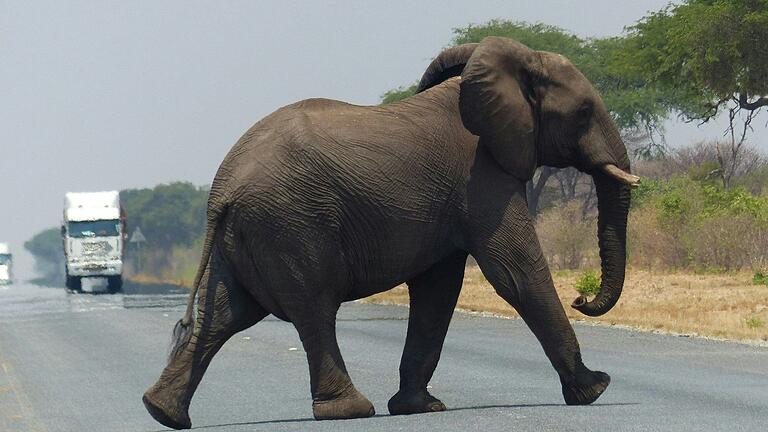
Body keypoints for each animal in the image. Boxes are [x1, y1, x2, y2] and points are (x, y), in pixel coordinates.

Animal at [142, 37, 636, 428]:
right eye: (584, 112)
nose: (582, 298)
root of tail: (221, 189)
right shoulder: (480, 175)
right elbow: (516, 272)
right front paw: (595, 389)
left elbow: (439, 290)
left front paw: (420, 407)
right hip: (290, 224)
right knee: (314, 307)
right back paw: (349, 411)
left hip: (247, 234)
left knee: (226, 314)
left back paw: (162, 412)